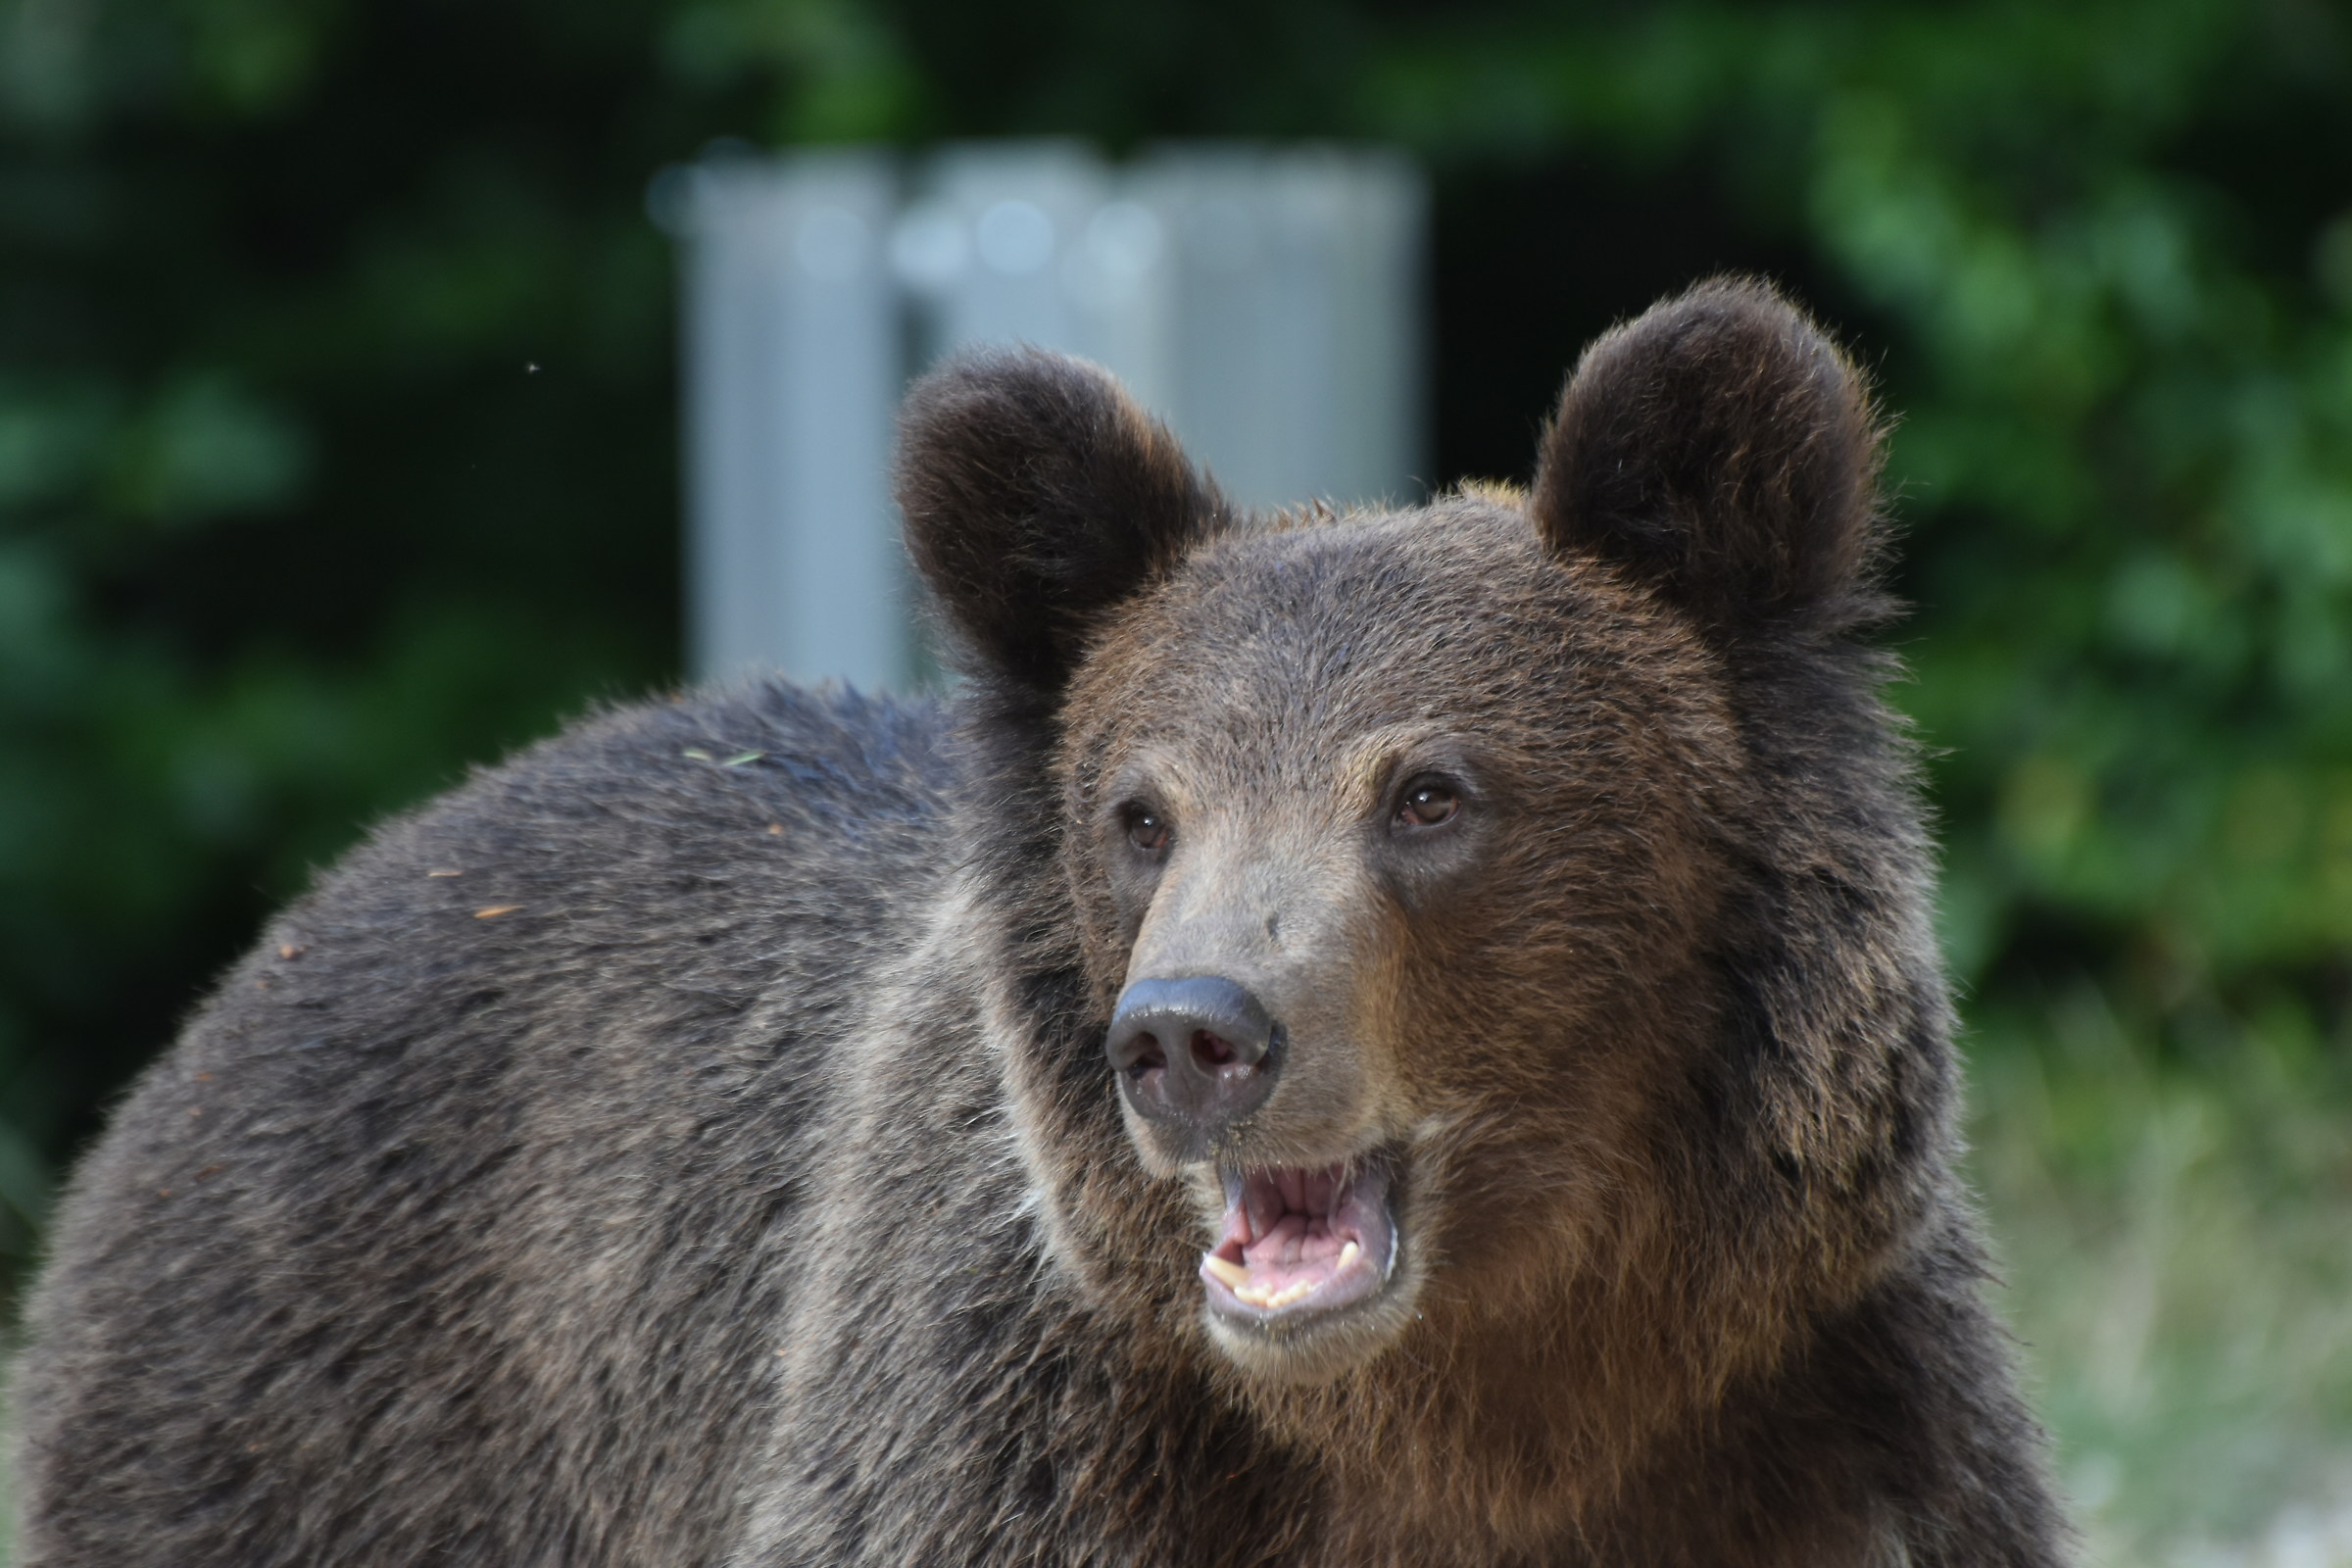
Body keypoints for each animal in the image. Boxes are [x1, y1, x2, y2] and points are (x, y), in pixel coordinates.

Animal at [14, 279, 2072, 1566]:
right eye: (1140, 812)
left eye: (1430, 792)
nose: (1190, 1034)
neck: (1464, 1415)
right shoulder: (1019, 1456)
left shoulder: (1830, 1438)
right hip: (305, 1425)